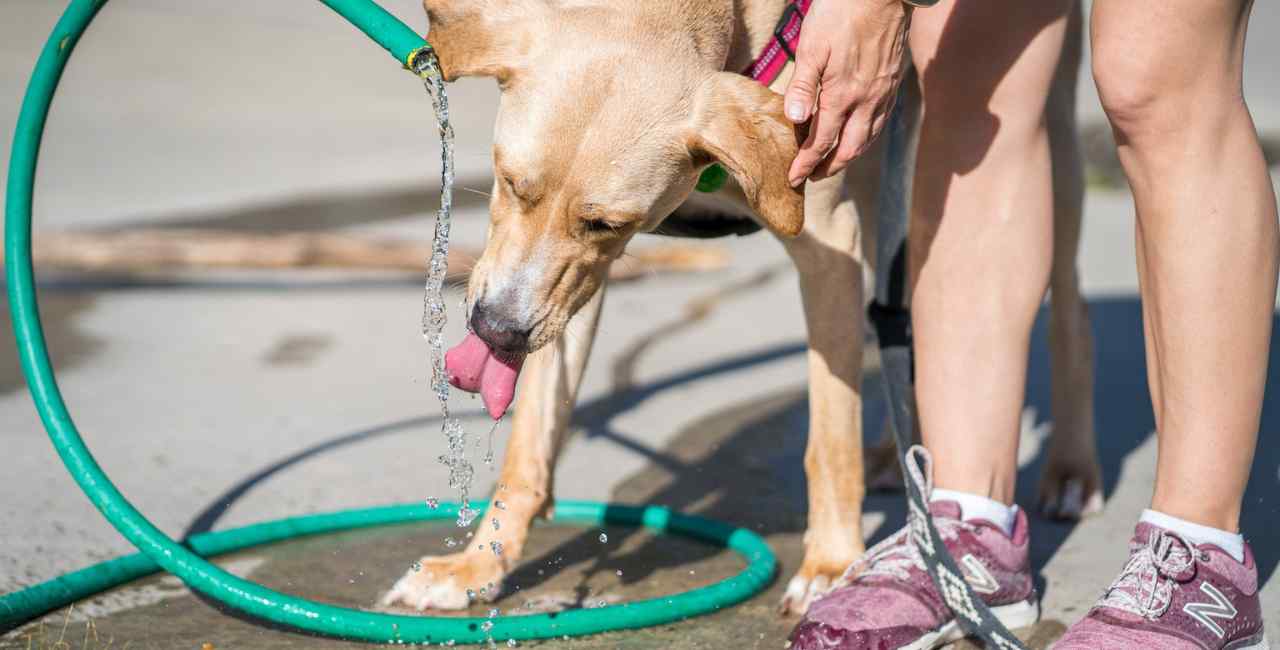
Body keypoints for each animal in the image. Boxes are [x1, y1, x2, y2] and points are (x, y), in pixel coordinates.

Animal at [381, 0, 1100, 616]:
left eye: (606, 222)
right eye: (509, 181)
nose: (494, 330)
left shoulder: (828, 246)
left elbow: (828, 439)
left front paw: (831, 565)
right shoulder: (566, 289)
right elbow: (530, 442)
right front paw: (478, 566)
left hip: (1037, 138)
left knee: (1068, 303)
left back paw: (1072, 470)